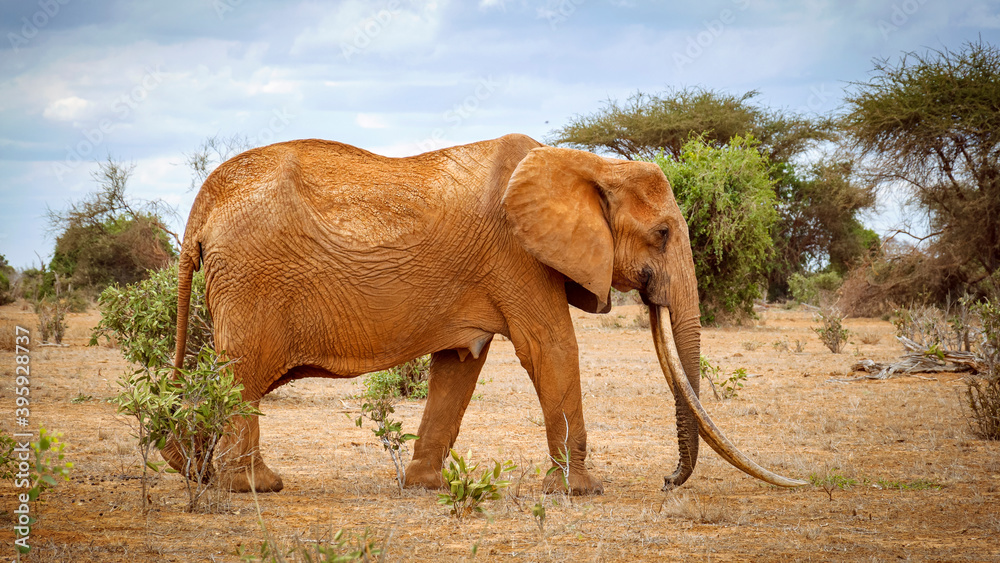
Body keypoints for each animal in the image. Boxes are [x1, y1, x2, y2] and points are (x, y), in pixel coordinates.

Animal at [165, 133, 806, 494]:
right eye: (664, 233)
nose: (668, 481)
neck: (587, 165)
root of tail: (202, 207)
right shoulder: (517, 256)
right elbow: (553, 349)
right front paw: (582, 492)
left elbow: (459, 365)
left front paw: (424, 488)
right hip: (251, 282)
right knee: (241, 375)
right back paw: (254, 486)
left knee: (223, 376)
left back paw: (191, 469)